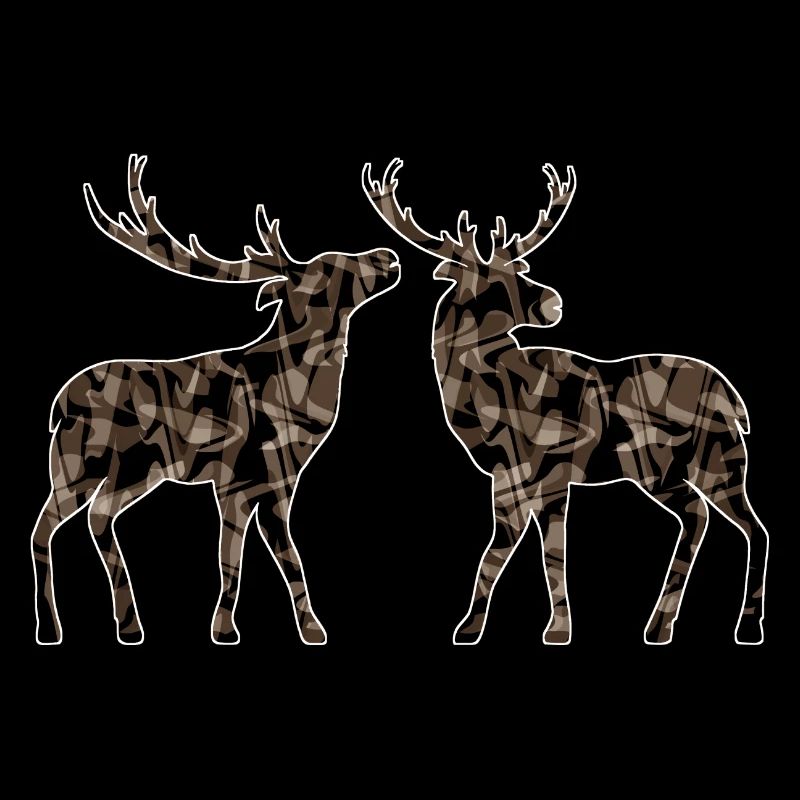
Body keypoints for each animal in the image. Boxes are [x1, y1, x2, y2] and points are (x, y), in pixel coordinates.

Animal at [32, 154, 400, 646]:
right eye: (330, 269)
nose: (389, 256)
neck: (296, 401)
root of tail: (58, 405)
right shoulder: (235, 479)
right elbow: (236, 560)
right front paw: (227, 631)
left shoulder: (279, 483)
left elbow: (284, 559)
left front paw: (309, 630)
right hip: (103, 463)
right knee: (69, 523)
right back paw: (88, 626)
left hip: (103, 470)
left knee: (72, 521)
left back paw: (97, 627)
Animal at [363, 158, 768, 646]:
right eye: (488, 280)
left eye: (518, 271)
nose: (553, 302)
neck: (484, 402)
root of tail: (735, 401)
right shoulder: (538, 478)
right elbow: (540, 553)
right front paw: (548, 628)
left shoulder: (531, 469)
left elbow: (509, 555)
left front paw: (479, 629)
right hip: (674, 469)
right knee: (704, 518)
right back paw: (660, 626)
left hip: (711, 459)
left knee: (745, 526)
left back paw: (743, 627)